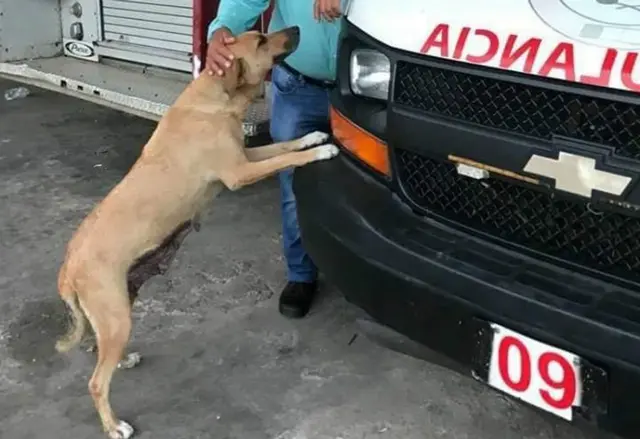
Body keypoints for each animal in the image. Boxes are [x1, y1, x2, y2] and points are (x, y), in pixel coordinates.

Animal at [53, 25, 340, 438]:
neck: (215, 96)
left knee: (98, 350)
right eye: (262, 41)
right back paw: (114, 425)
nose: (297, 28)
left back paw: (121, 362)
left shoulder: (247, 157)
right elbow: (288, 157)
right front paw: (320, 152)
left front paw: (313, 138)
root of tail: (68, 265)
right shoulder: (240, 172)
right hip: (117, 316)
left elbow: (285, 145)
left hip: (115, 312)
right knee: (95, 382)